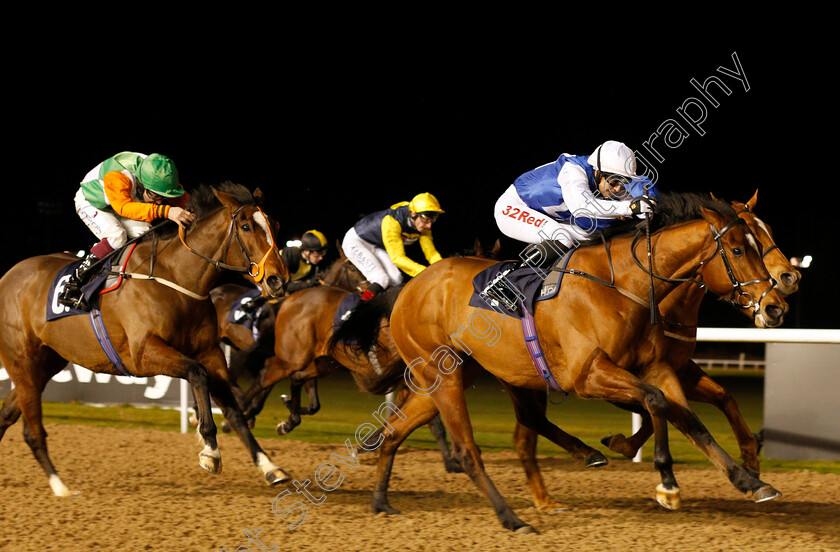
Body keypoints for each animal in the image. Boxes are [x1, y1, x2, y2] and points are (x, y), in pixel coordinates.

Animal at [0, 181, 292, 496]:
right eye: (247, 226)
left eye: (275, 225)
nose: (279, 280)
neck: (176, 278)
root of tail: (7, 277)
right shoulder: (142, 355)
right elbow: (197, 374)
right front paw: (210, 450)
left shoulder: (210, 353)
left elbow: (234, 412)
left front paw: (270, 467)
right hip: (22, 361)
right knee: (33, 430)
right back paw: (60, 487)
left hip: (45, 363)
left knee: (10, 417)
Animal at [362, 193, 788, 532]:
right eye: (738, 250)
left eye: (763, 239)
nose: (776, 304)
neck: (625, 287)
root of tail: (410, 287)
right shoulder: (588, 375)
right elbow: (654, 402)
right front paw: (666, 482)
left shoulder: (658, 367)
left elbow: (688, 419)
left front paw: (750, 480)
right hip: (442, 374)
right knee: (468, 450)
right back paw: (513, 518)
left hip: (466, 375)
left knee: (398, 431)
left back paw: (382, 501)